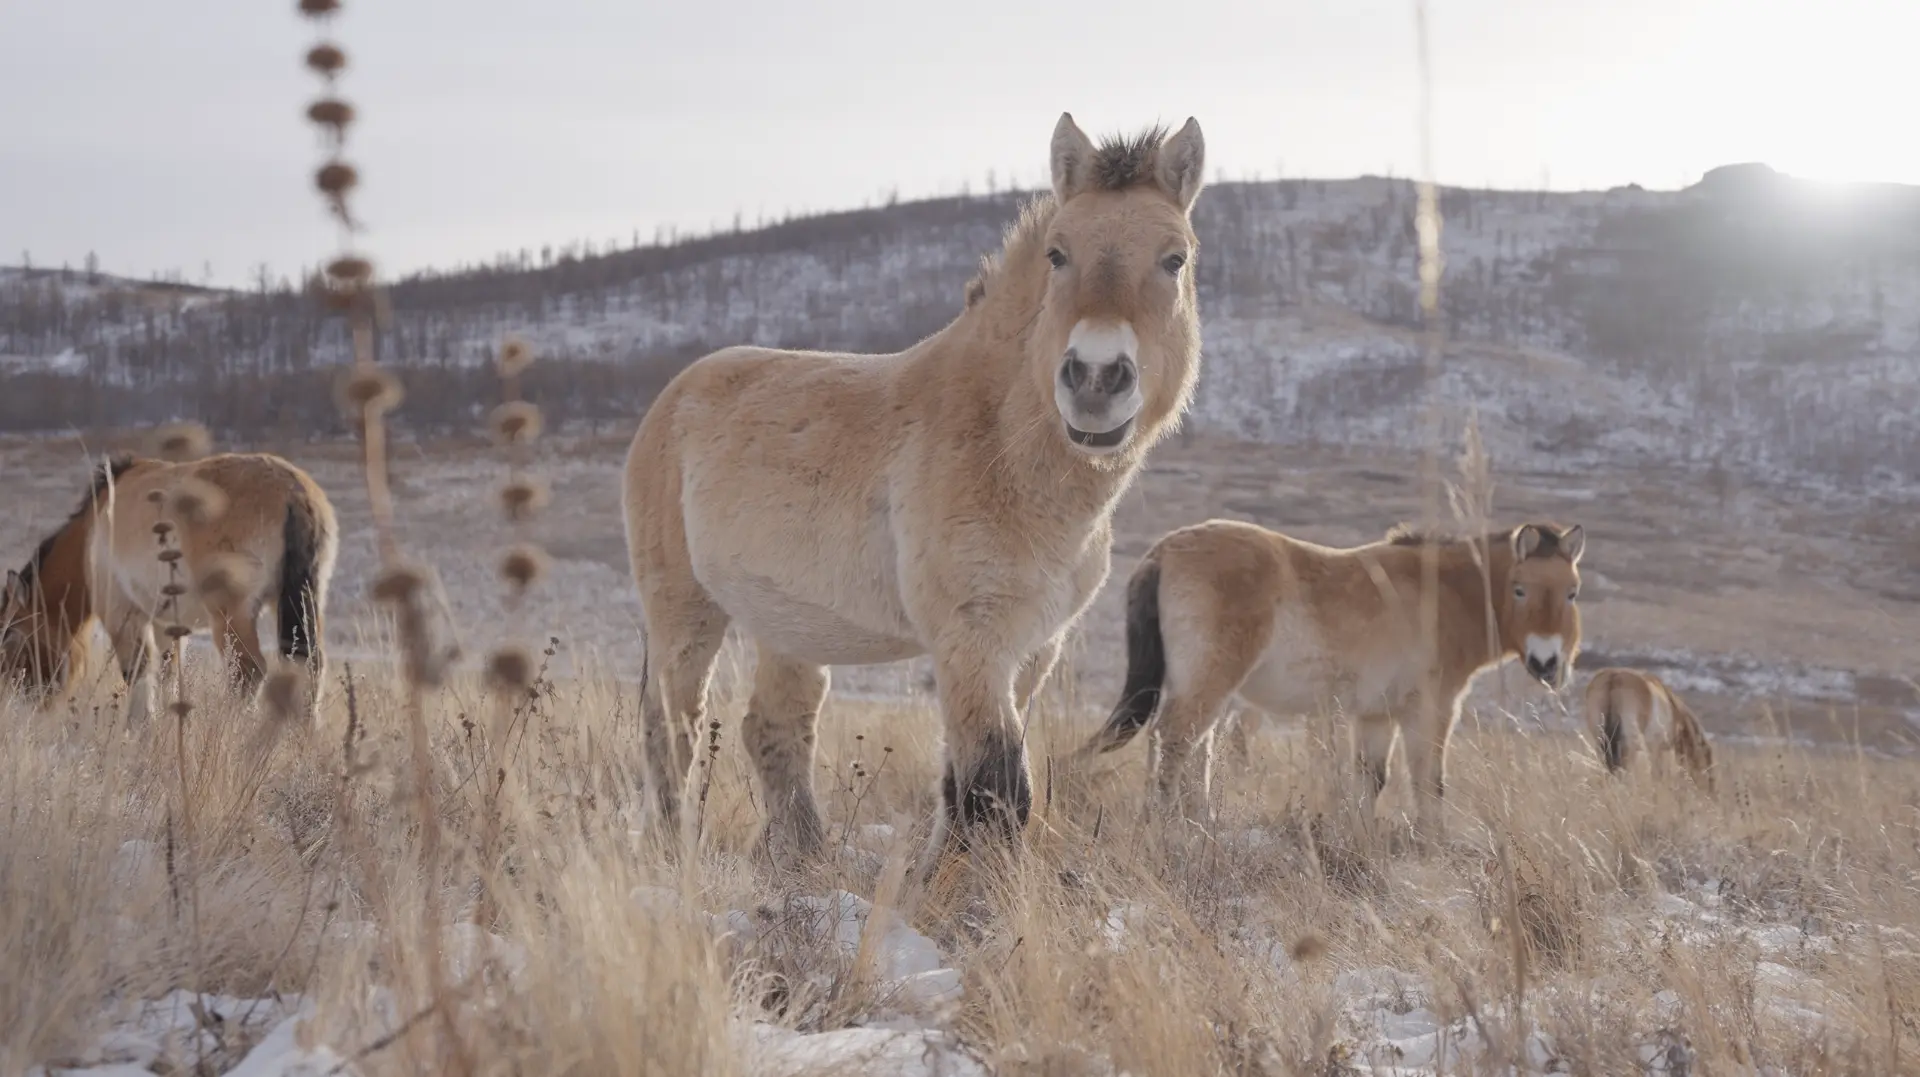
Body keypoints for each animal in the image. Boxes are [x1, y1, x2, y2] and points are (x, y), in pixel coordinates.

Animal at [1, 453, 338, 724]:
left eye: (11, 635)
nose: (15, 704)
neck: (94, 532)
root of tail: (293, 494)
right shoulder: (166, 625)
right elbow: (166, 679)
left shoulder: (122, 615)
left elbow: (137, 676)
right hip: (305, 601)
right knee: (309, 665)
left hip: (233, 615)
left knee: (248, 673)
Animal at [622, 113, 1208, 865]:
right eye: (1057, 255)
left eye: (1174, 259)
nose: (1096, 378)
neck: (998, 446)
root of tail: (674, 397)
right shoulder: (971, 641)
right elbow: (993, 791)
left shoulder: (1032, 649)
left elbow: (968, 786)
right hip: (683, 611)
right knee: (674, 729)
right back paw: (674, 850)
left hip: (788, 623)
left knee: (773, 727)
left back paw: (805, 857)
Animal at [1080, 519, 1585, 840]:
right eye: (1520, 589)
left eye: (1572, 592)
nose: (1547, 663)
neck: (1441, 593)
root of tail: (1163, 552)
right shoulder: (1430, 710)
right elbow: (1429, 780)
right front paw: (1432, 841)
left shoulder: (1377, 715)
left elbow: (1372, 779)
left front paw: (1360, 836)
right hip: (1208, 683)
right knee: (1174, 742)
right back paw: (1166, 826)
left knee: (1186, 748)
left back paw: (1196, 824)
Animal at [1581, 667, 1714, 792]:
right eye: (1708, 765)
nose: (1710, 793)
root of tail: (1613, 678)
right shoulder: (1655, 749)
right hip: (1629, 746)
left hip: (1602, 742)